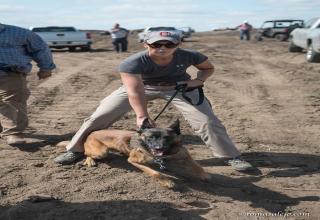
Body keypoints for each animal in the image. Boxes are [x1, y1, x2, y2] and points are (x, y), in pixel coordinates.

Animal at [60, 119, 210, 188]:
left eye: (166, 138)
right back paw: (90, 161)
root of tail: (90, 133)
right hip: (102, 152)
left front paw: (204, 175)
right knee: (87, 153)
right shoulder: (133, 161)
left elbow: (197, 165)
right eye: (150, 138)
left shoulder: (183, 153)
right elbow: (155, 172)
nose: (159, 147)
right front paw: (167, 181)